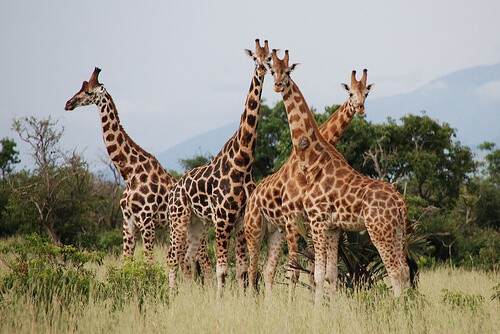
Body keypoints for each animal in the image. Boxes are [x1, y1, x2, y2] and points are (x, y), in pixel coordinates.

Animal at [65, 68, 211, 280]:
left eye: (89, 92)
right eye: (80, 88)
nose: (68, 104)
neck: (129, 173)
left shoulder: (146, 220)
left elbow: (148, 263)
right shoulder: (128, 221)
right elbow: (126, 262)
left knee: (206, 264)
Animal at [166, 39, 272, 298]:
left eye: (270, 58)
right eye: (255, 58)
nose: (264, 69)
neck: (243, 162)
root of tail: (174, 189)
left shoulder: (241, 220)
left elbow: (242, 268)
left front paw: (244, 301)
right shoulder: (223, 219)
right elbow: (222, 269)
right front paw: (219, 302)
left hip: (197, 223)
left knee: (187, 259)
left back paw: (188, 297)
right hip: (178, 219)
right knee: (172, 257)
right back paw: (172, 298)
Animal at [244, 67, 374, 294]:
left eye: (366, 93)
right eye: (350, 93)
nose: (360, 107)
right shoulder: (300, 220)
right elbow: (302, 267)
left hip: (275, 232)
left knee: (267, 270)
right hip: (255, 229)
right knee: (251, 269)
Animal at [264, 49, 412, 306]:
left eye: (288, 71)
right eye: (272, 70)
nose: (277, 85)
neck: (313, 160)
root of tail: (400, 202)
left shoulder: (317, 221)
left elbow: (318, 274)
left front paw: (316, 314)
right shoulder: (332, 227)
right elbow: (330, 274)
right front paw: (331, 311)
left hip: (379, 230)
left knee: (395, 271)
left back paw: (400, 311)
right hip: (395, 232)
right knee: (403, 270)